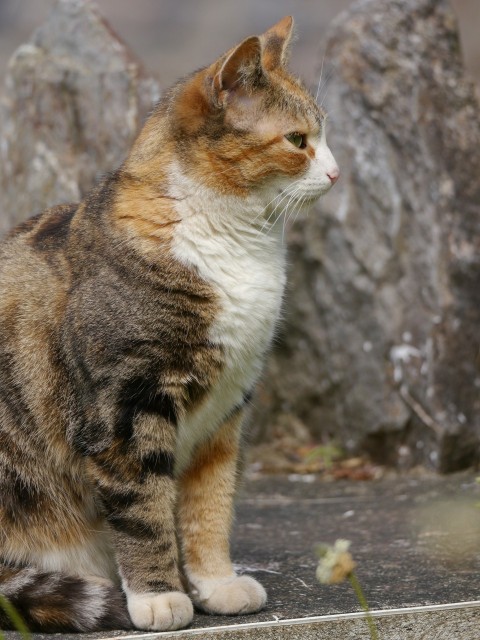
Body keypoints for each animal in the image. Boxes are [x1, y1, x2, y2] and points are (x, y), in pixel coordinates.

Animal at [0, 15, 338, 636]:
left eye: (321, 137)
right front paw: (159, 596)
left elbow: (209, 505)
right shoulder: (127, 406)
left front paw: (215, 584)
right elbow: (145, 512)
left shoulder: (226, 410)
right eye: (297, 141)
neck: (233, 242)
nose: (335, 172)